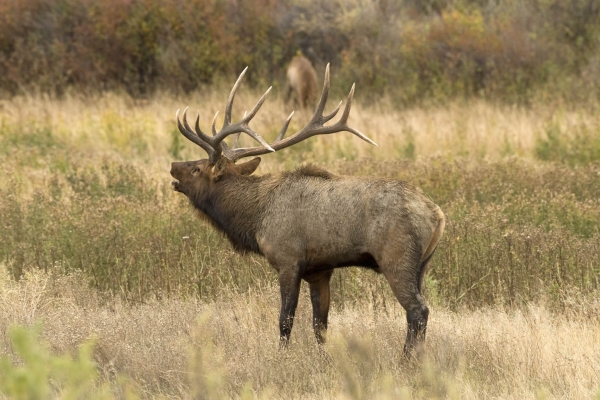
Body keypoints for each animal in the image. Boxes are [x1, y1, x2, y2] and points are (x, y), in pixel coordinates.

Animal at [169, 65, 446, 356]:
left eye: (197, 168)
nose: (173, 165)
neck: (254, 219)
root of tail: (438, 215)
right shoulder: (319, 270)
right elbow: (320, 324)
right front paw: (324, 358)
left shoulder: (288, 260)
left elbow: (285, 319)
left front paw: (281, 357)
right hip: (422, 265)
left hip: (397, 257)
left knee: (418, 310)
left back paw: (406, 359)